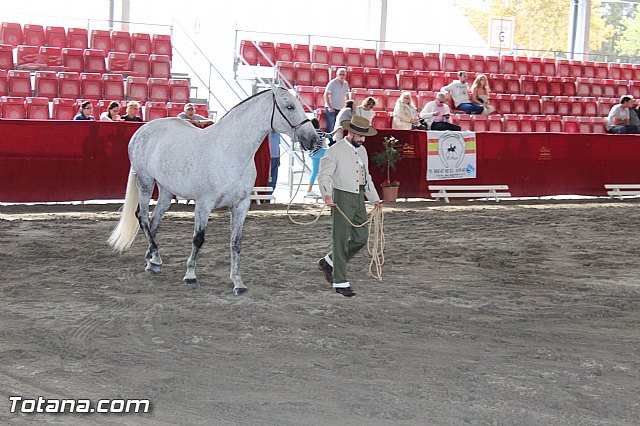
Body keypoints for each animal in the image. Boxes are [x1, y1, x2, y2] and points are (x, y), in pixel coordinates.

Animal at [108, 86, 317, 294]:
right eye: (289, 106)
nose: (313, 139)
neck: (229, 151)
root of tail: (142, 130)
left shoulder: (241, 206)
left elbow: (236, 242)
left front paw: (237, 282)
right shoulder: (204, 204)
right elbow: (198, 238)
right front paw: (190, 275)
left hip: (166, 191)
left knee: (155, 221)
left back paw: (153, 260)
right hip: (145, 182)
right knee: (142, 216)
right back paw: (156, 258)